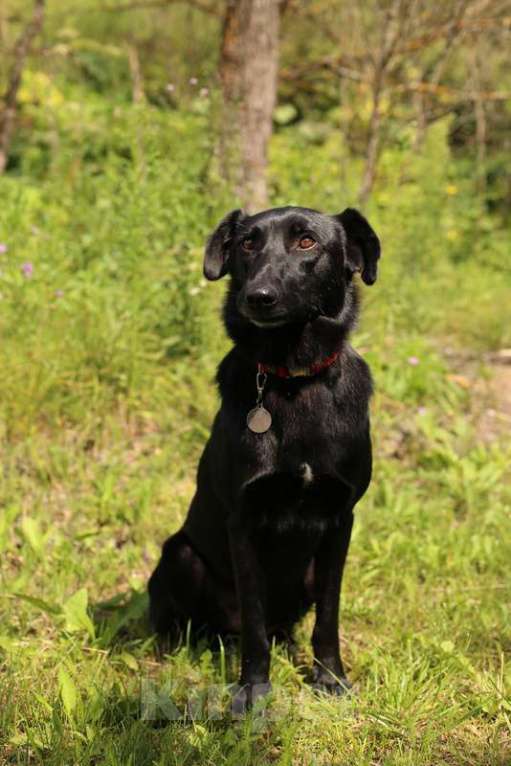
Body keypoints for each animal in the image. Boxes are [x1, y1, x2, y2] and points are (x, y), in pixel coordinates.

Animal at [148, 206, 380, 712]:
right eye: (247, 244)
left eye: (307, 242)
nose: (257, 296)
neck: (293, 379)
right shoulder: (244, 521)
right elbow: (253, 625)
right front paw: (252, 691)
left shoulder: (341, 519)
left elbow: (329, 615)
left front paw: (331, 679)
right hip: (180, 554)